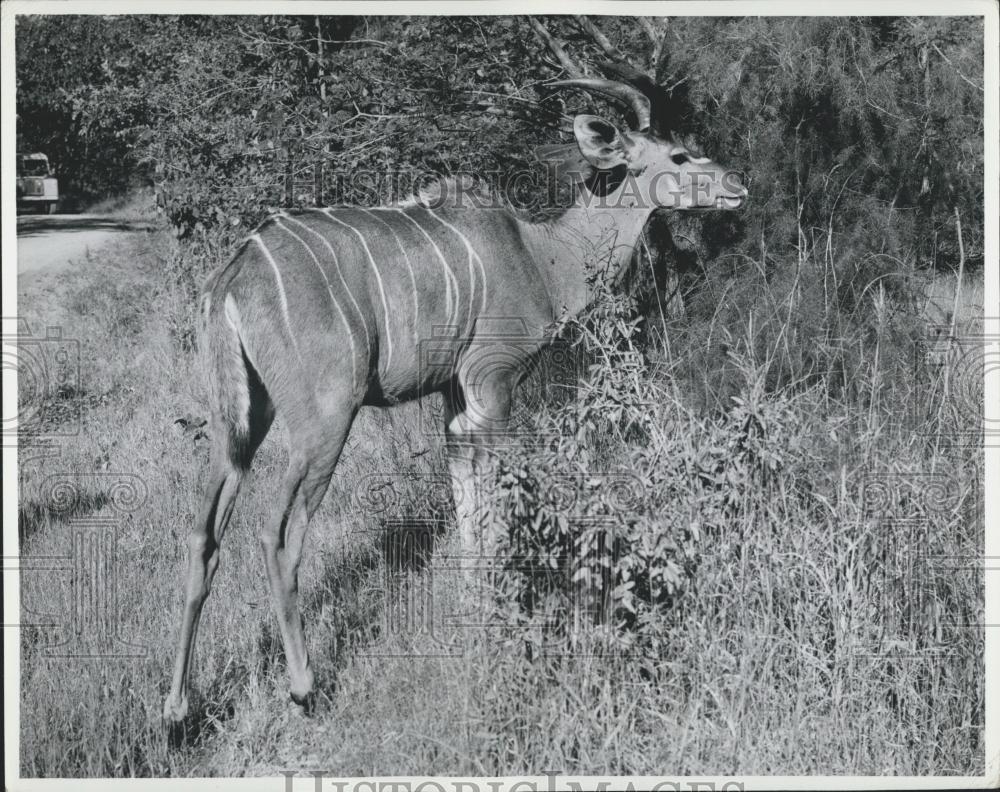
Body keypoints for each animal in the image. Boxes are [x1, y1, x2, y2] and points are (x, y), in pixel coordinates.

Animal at [162, 76, 744, 724]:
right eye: (678, 156)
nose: (738, 186)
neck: (544, 256)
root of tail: (231, 278)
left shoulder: (454, 396)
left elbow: (467, 506)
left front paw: (474, 602)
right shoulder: (494, 383)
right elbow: (494, 505)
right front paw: (503, 609)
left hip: (240, 425)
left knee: (203, 536)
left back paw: (176, 707)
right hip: (324, 423)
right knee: (277, 537)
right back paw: (304, 686)